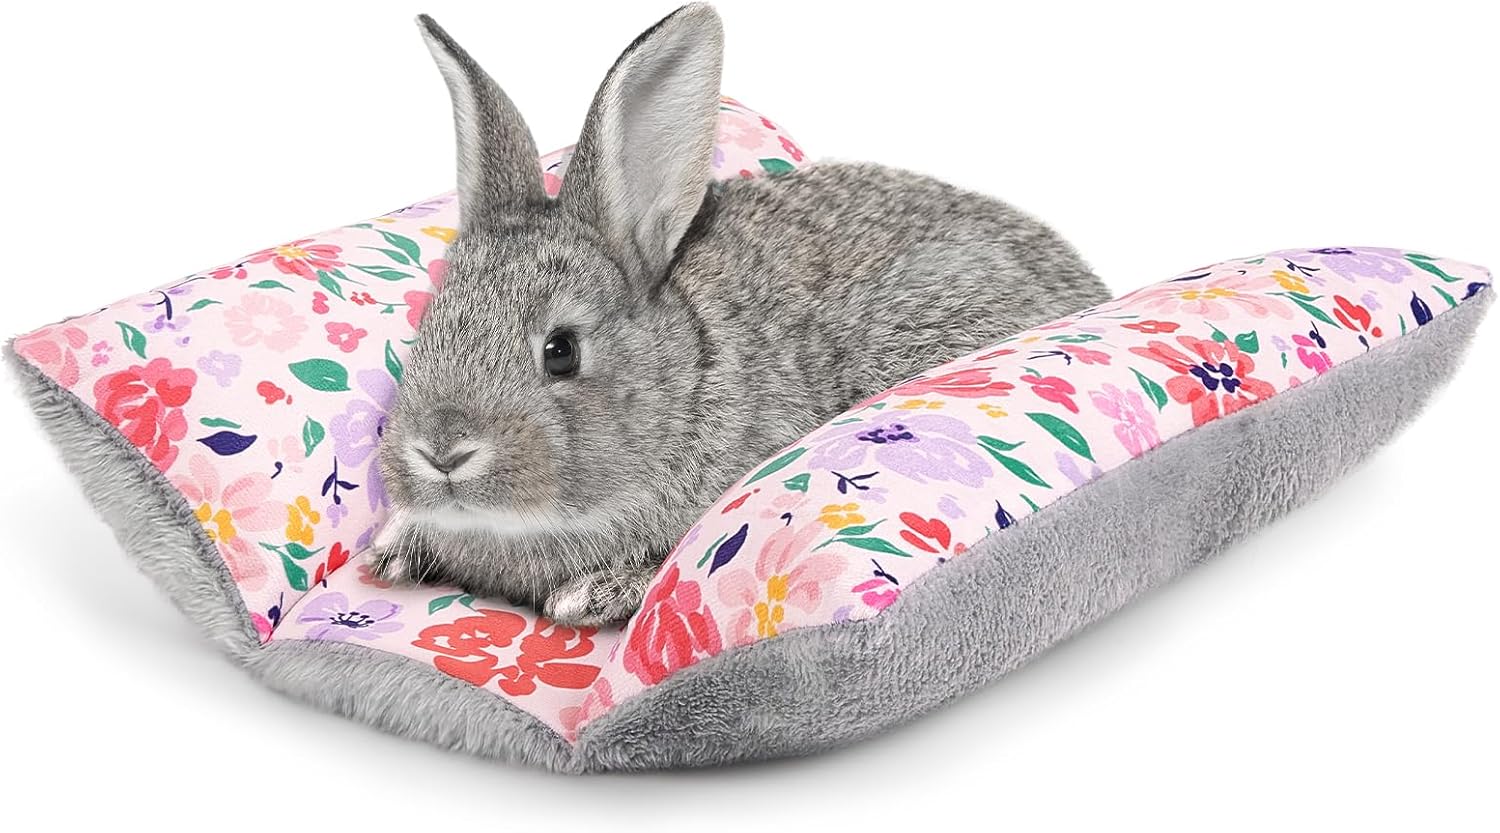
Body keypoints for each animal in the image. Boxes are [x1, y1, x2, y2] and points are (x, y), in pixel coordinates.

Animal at [373, 3, 1111, 626]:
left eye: (561, 350)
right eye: (427, 330)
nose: (442, 452)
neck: (685, 378)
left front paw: (595, 593)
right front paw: (390, 545)